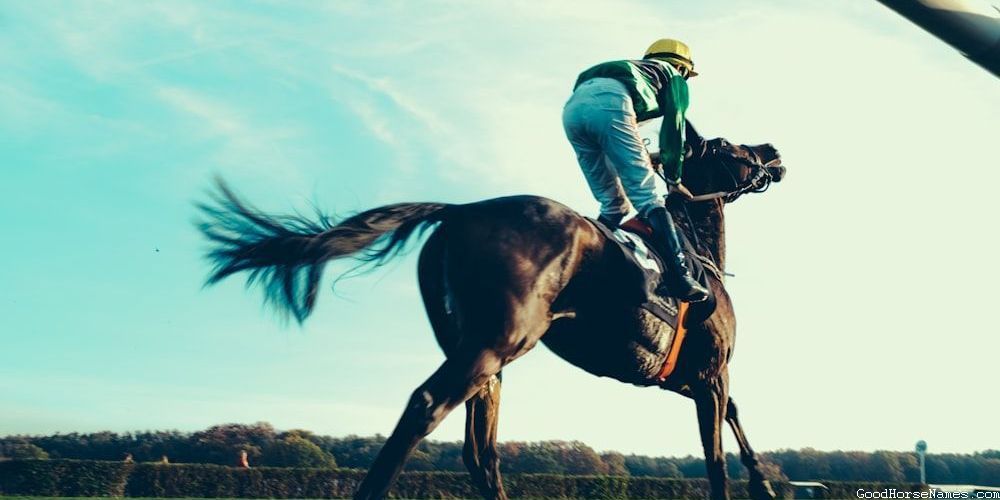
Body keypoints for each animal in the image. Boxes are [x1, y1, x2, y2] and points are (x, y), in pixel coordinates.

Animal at [197, 137, 786, 500]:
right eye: (731, 147)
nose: (774, 152)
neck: (697, 253)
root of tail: (459, 211)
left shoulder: (683, 378)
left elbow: (733, 415)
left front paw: (765, 482)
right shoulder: (709, 373)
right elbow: (715, 454)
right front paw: (755, 480)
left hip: (484, 355)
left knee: (480, 453)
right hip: (495, 344)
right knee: (427, 408)